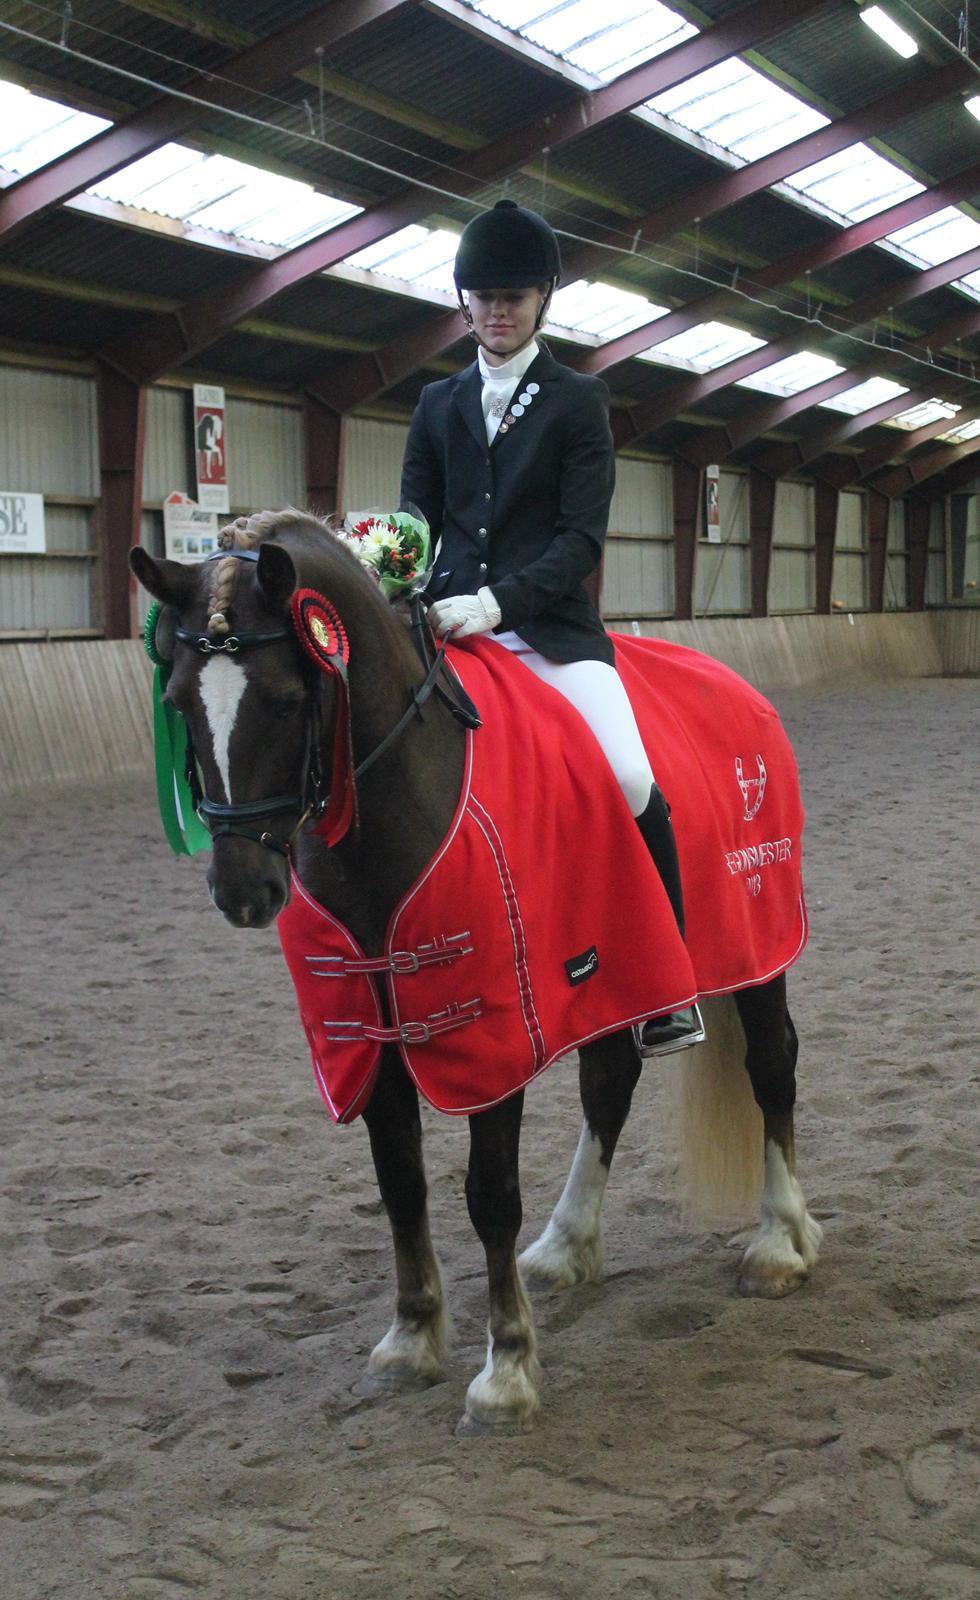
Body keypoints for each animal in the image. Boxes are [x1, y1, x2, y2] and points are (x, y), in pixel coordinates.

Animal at [128, 505, 819, 1433]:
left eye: (283, 698)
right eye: (177, 702)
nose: (242, 891)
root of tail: (734, 684)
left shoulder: (488, 1035)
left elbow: (488, 1195)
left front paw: (507, 1371)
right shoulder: (368, 1032)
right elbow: (401, 1184)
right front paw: (411, 1339)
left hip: (755, 946)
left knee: (771, 1067)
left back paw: (779, 1243)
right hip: (614, 974)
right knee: (609, 1083)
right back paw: (565, 1247)